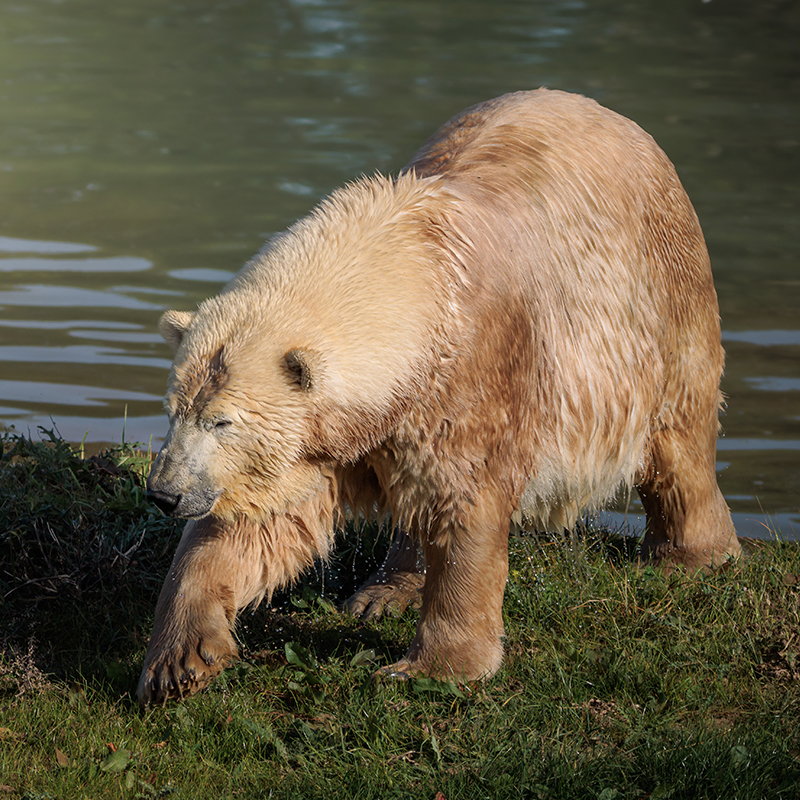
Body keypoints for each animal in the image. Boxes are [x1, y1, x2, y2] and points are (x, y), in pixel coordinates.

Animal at [138, 88, 741, 704]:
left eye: (223, 422)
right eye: (174, 411)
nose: (163, 493)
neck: (418, 268)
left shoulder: (475, 373)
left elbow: (464, 504)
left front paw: (433, 667)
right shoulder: (338, 436)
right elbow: (258, 522)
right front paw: (181, 660)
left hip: (661, 299)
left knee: (679, 440)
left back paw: (691, 557)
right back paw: (382, 593)